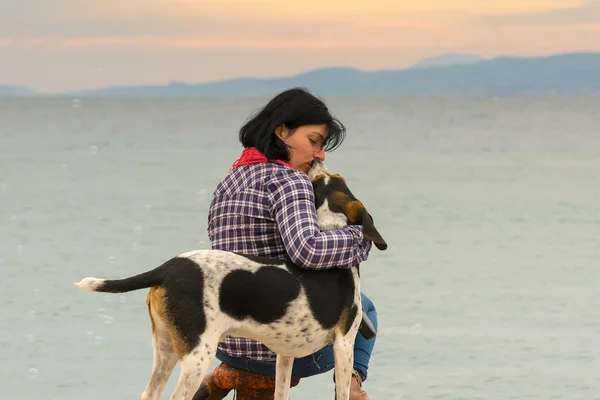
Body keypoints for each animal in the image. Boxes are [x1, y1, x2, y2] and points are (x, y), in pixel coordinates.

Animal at [75, 160, 386, 400]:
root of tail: (166, 267)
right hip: (197, 356)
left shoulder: (285, 356)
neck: (329, 227)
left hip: (165, 348)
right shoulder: (343, 345)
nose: (317, 161)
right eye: (332, 177)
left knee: (149, 393)